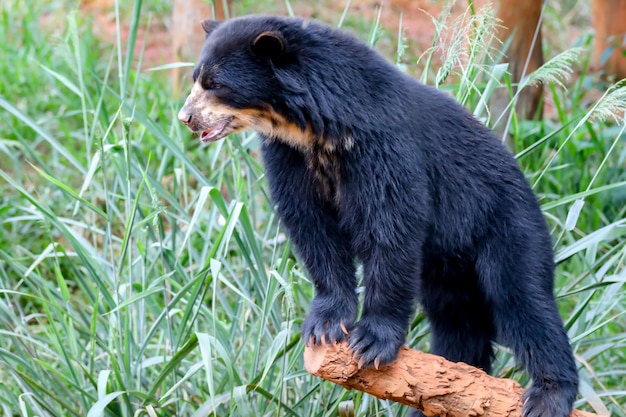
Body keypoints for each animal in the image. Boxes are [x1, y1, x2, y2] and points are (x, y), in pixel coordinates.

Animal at [176, 14, 576, 416]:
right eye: (196, 78)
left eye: (216, 84)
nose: (186, 118)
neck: (316, 130)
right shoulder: (290, 156)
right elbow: (313, 229)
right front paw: (324, 326)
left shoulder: (383, 147)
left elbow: (392, 226)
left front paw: (371, 342)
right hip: (447, 269)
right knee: (458, 322)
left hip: (504, 224)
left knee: (522, 298)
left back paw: (548, 395)